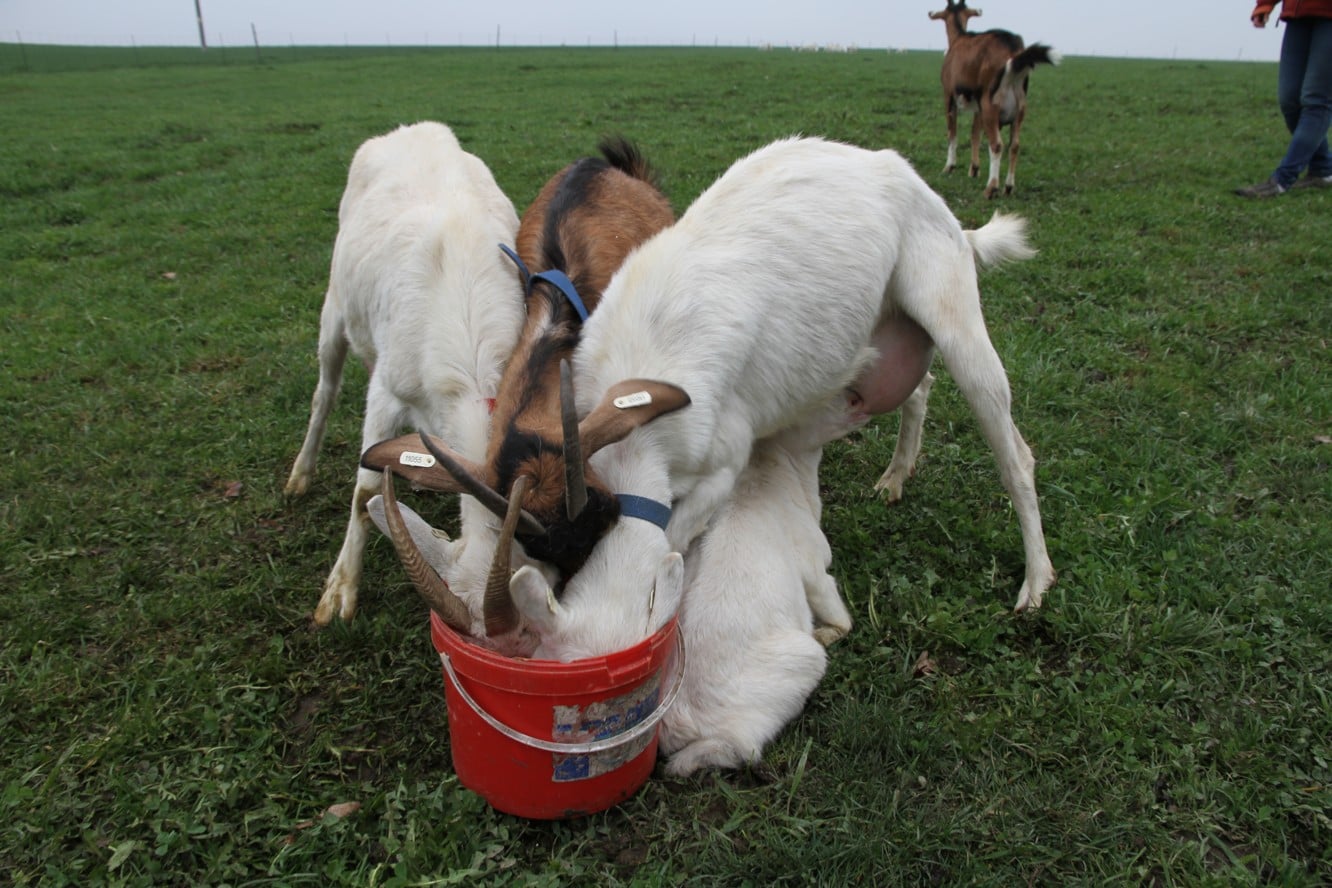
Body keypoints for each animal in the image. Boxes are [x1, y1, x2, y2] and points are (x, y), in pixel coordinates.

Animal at [285, 121, 524, 628]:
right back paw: (300, 475)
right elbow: (366, 489)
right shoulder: (385, 394)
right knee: (324, 393)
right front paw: (340, 593)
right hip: (335, 307)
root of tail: (412, 128)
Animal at [503, 135, 1054, 663]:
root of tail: (907, 177)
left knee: (1014, 452)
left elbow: (676, 538)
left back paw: (1036, 584)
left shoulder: (722, 464)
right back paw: (896, 477)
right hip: (890, 326)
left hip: (953, 314)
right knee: (918, 387)